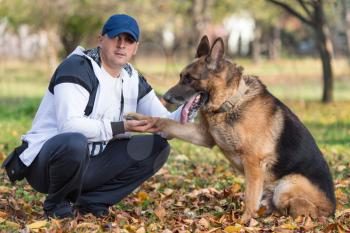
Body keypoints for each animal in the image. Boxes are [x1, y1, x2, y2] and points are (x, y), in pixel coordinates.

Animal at [126, 35, 336, 223]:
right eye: (180, 77)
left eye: (190, 79)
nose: (166, 98)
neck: (230, 103)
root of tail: (333, 209)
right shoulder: (204, 137)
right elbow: (164, 121)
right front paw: (141, 119)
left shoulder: (253, 163)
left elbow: (250, 198)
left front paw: (243, 222)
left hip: (286, 185)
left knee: (305, 210)